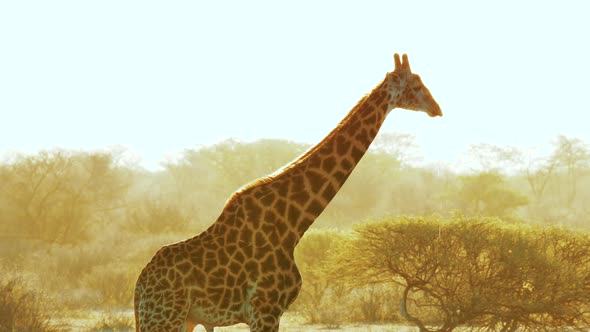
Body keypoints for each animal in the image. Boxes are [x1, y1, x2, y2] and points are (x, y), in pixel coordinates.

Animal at [134, 53, 444, 330]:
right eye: (416, 85)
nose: (437, 109)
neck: (292, 223)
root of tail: (139, 288)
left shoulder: (271, 312)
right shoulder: (265, 310)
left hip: (181, 320)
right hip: (165, 318)